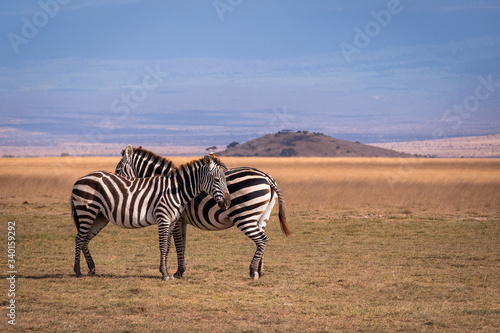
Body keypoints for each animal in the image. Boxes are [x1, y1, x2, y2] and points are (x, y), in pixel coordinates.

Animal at [70, 153, 230, 280]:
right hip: (86, 211)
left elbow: (168, 247)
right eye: (217, 180)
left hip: (99, 216)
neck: (176, 190)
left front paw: (168, 273)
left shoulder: (172, 221)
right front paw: (164, 274)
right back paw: (78, 272)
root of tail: (80, 179)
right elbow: (163, 246)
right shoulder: (163, 218)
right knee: (79, 239)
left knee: (85, 239)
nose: (227, 203)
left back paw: (92, 269)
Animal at [115, 144, 290, 278]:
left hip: (244, 216)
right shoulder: (181, 220)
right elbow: (181, 244)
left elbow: (176, 244)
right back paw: (260, 271)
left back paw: (252, 270)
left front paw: (178, 272)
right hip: (262, 217)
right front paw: (179, 270)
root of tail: (266, 177)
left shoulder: (176, 219)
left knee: (261, 239)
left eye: (118, 171)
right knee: (261, 240)